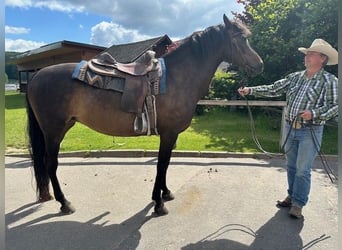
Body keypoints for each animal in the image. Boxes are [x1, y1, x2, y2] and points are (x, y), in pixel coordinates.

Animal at [26, 14, 264, 216]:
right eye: (241, 39)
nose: (260, 64)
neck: (179, 77)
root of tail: (36, 76)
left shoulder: (171, 135)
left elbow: (165, 163)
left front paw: (165, 193)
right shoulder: (168, 133)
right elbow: (161, 164)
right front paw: (158, 204)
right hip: (53, 130)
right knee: (50, 163)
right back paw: (65, 203)